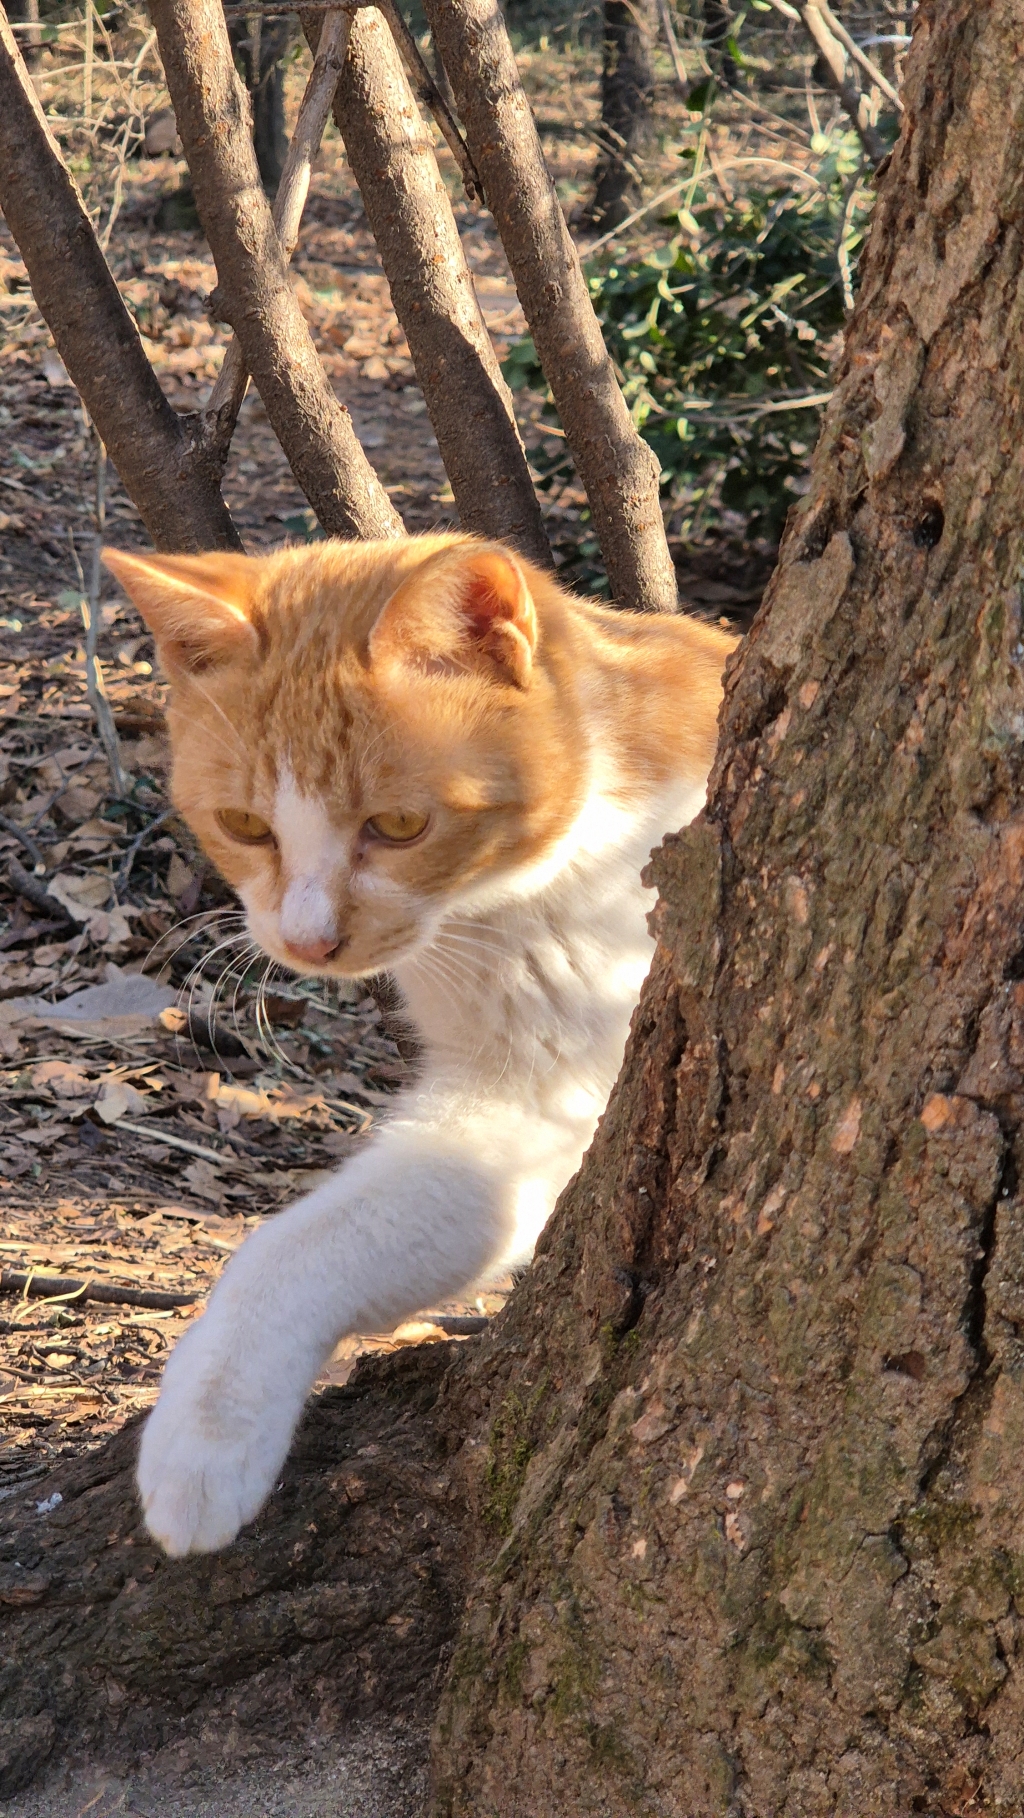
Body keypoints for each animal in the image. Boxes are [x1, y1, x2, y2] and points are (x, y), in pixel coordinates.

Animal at [104, 530, 738, 1556]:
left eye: (399, 826)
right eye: (244, 826)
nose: (307, 941)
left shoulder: (555, 1105)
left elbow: (296, 1248)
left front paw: (205, 1439)